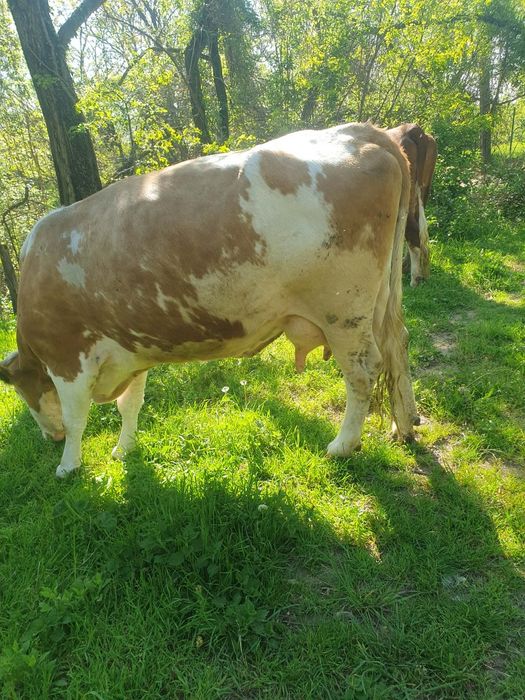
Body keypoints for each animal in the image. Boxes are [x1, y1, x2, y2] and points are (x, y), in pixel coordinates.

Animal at [0, 123, 419, 478]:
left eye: (21, 392)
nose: (49, 438)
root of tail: (358, 131)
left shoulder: (67, 356)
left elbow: (76, 418)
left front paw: (68, 464)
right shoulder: (131, 348)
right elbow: (130, 404)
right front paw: (124, 449)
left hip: (343, 311)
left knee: (364, 370)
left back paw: (343, 444)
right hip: (378, 303)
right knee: (397, 346)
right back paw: (405, 425)